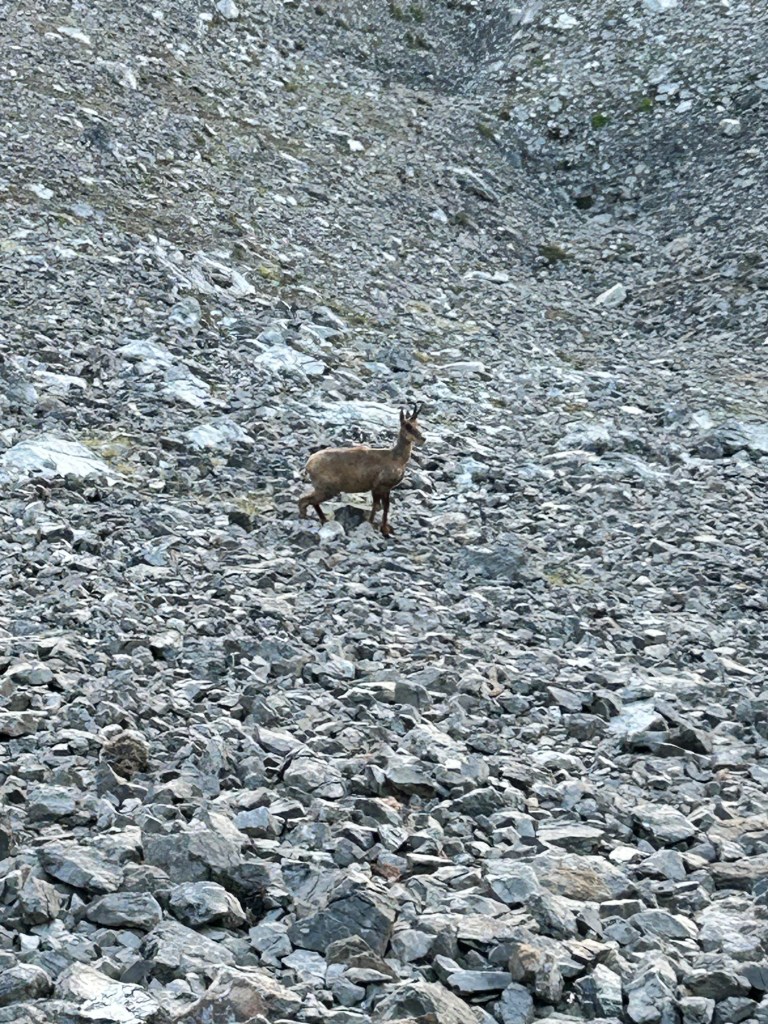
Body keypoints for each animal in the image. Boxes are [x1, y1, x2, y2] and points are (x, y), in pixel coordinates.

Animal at [298, 404, 425, 538]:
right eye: (408, 426)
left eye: (418, 424)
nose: (423, 438)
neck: (395, 458)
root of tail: (308, 464)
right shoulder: (380, 486)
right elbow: (379, 506)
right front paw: (377, 526)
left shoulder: (386, 488)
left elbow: (382, 506)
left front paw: (382, 527)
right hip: (327, 489)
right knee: (306, 500)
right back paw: (307, 517)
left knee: (311, 501)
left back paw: (323, 519)